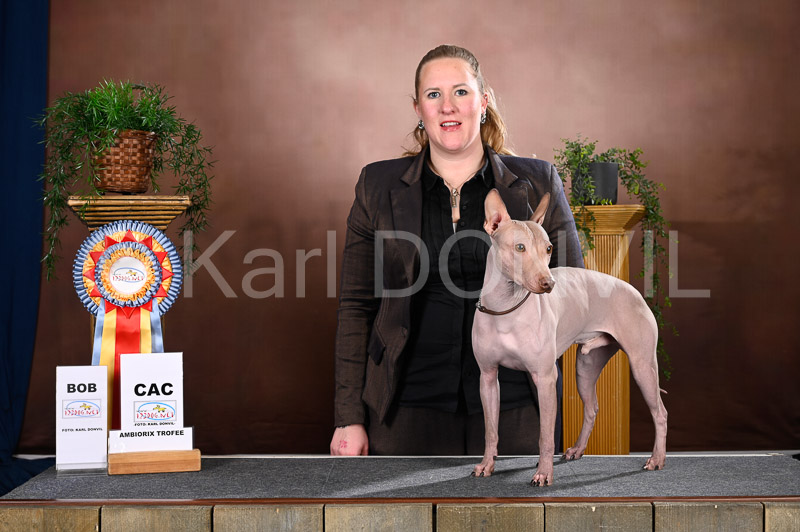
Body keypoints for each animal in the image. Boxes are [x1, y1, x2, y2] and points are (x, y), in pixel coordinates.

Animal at [471, 189, 667, 486]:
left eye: (549, 249)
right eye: (520, 248)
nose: (549, 284)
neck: (506, 307)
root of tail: (633, 290)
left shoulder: (545, 379)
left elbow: (544, 436)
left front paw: (543, 473)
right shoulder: (488, 377)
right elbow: (491, 429)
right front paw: (486, 464)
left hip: (642, 366)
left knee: (660, 412)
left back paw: (656, 459)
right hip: (585, 368)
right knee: (592, 408)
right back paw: (577, 449)